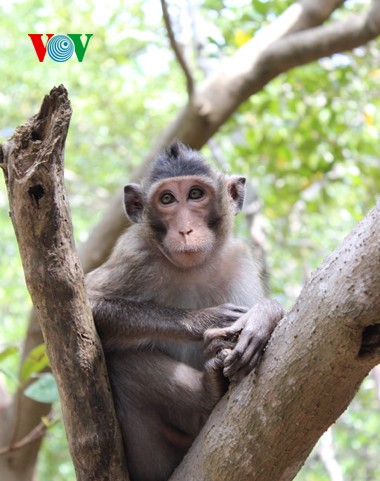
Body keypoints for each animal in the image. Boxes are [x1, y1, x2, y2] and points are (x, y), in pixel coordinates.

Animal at [85, 142, 282, 480]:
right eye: (167, 200)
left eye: (195, 194)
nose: (186, 230)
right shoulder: (134, 254)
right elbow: (84, 301)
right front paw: (207, 320)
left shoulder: (238, 259)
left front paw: (264, 317)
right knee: (121, 363)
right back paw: (208, 391)